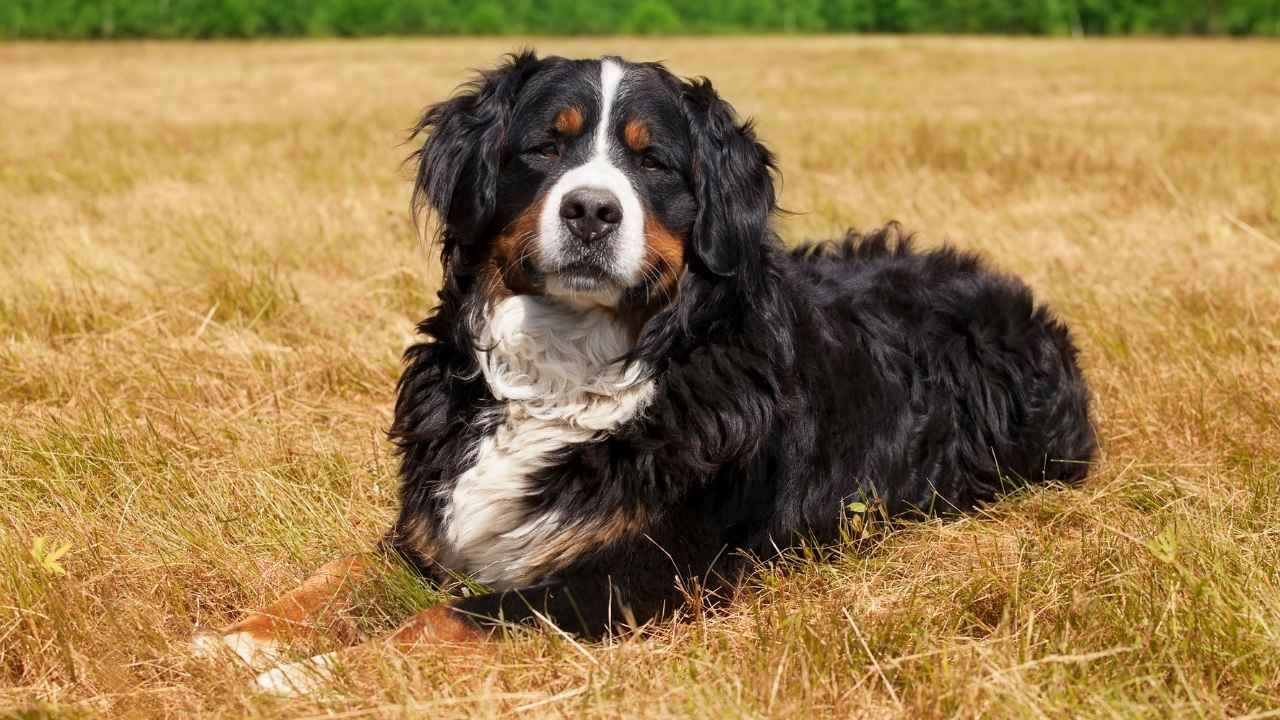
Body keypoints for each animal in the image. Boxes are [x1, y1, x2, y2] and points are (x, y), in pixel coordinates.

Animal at [194, 49, 1095, 691]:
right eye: (545, 147)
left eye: (652, 162)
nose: (592, 210)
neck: (566, 371)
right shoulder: (432, 528)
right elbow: (336, 575)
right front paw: (236, 639)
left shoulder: (636, 575)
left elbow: (447, 621)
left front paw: (310, 675)